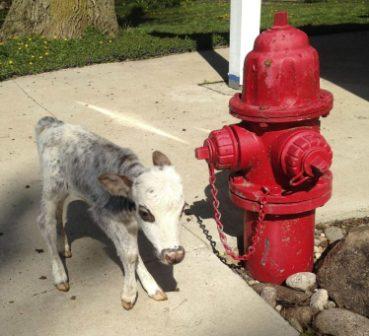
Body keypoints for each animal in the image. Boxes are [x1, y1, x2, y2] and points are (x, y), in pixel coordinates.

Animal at [35, 116, 184, 310]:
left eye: (182, 209)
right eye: (145, 213)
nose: (175, 255)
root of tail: (52, 124)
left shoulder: (130, 225)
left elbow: (133, 253)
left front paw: (151, 286)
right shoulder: (104, 217)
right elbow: (129, 254)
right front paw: (129, 293)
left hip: (64, 189)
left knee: (59, 212)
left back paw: (64, 246)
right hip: (51, 187)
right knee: (45, 222)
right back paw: (59, 274)